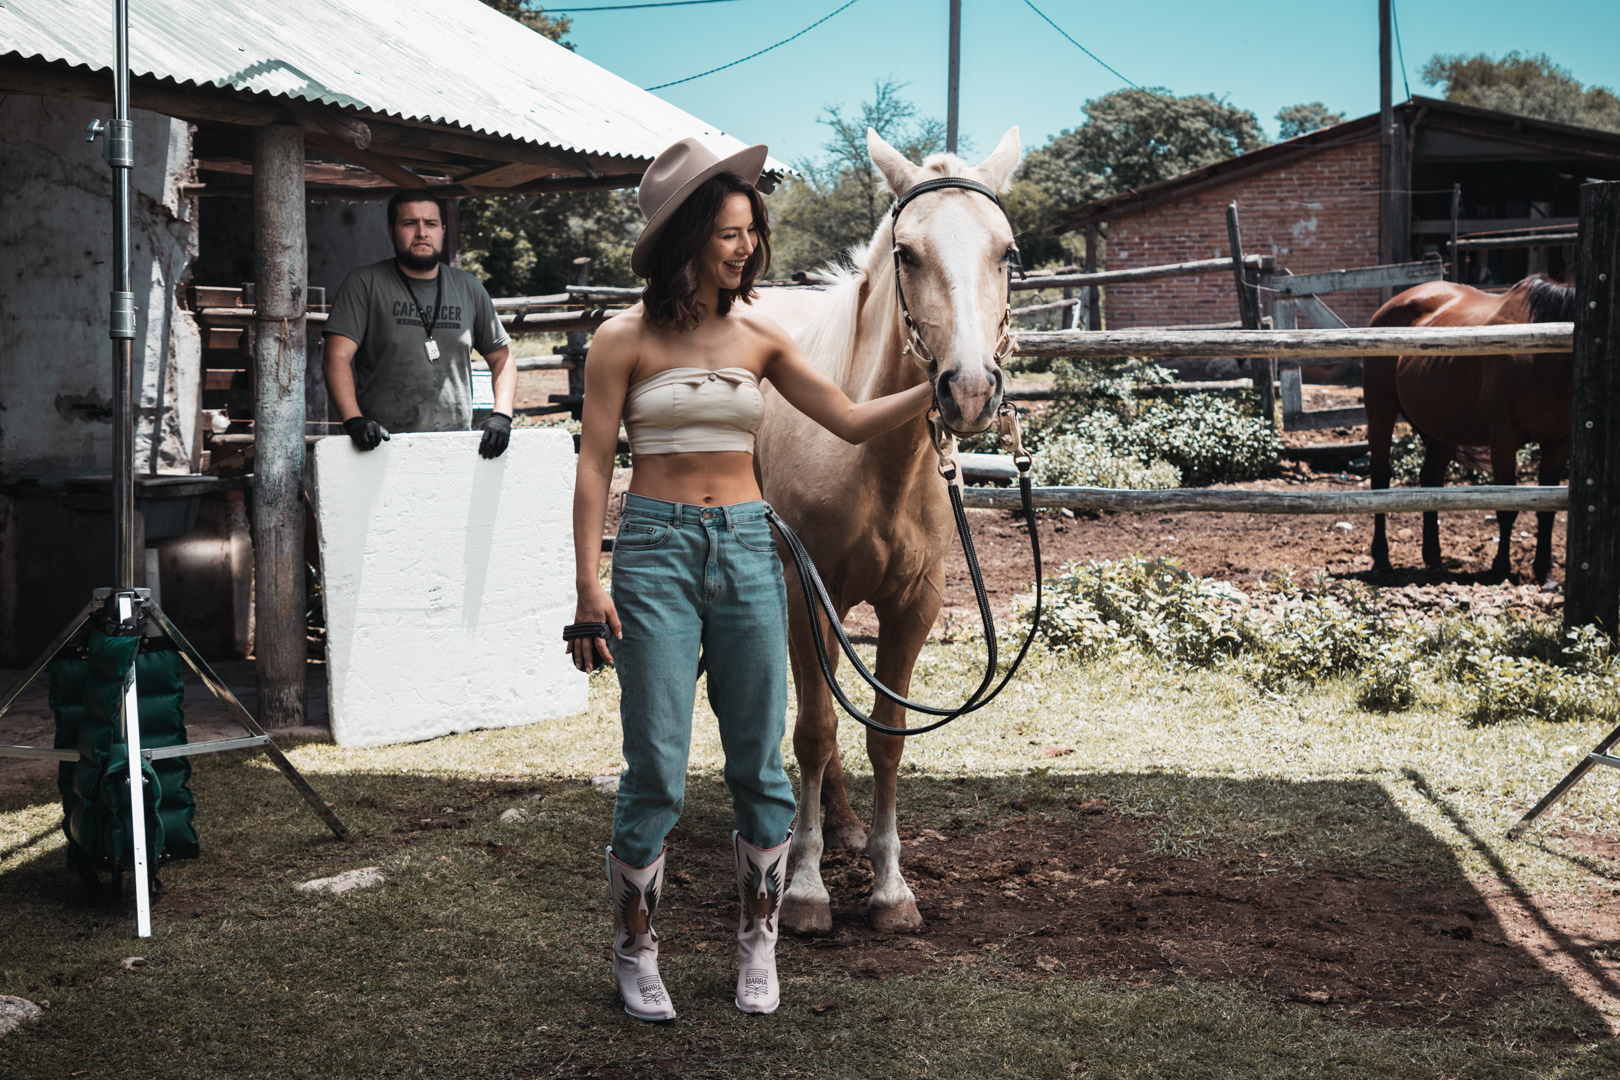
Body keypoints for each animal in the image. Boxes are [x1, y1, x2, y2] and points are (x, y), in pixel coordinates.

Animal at [750, 127, 1022, 933]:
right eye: (907, 253)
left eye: (1007, 253)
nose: (970, 390)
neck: (873, 453)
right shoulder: (805, 593)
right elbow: (814, 730)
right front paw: (807, 890)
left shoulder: (914, 606)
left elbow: (884, 735)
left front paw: (890, 887)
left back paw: (838, 823)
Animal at [1364, 275, 1577, 585]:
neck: (1542, 355)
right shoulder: (1503, 436)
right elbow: (1507, 506)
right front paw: (1500, 568)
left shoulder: (1559, 442)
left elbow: (1547, 509)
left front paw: (1544, 572)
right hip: (1380, 409)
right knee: (1380, 479)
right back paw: (1381, 559)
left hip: (1442, 429)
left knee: (1431, 480)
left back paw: (1434, 558)